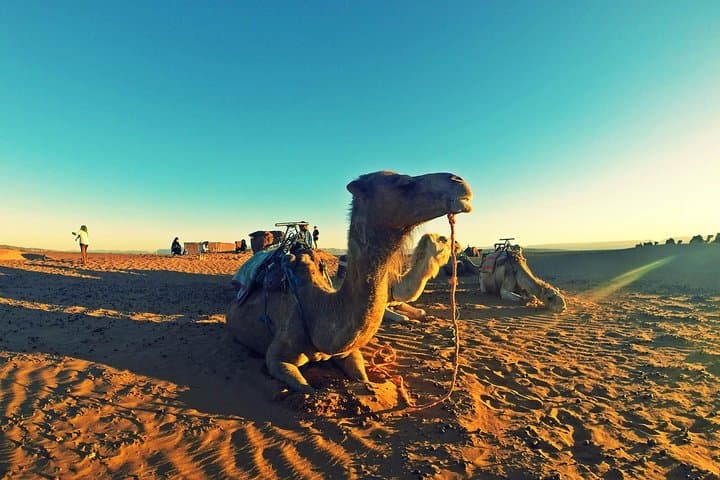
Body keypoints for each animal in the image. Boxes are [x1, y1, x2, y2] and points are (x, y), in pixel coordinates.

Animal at [226, 171, 472, 393]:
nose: (460, 182)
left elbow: (362, 376)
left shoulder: (348, 351)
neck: (318, 308)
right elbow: (305, 388)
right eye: (402, 182)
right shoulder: (278, 357)